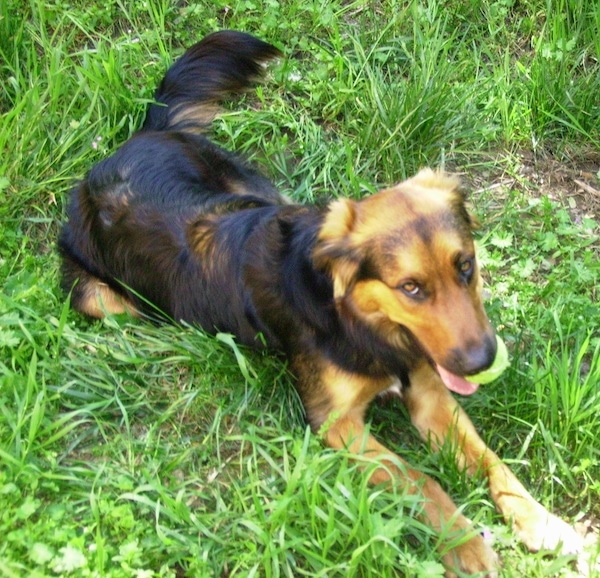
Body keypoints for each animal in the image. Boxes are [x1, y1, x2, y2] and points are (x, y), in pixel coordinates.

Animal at [58, 30, 584, 572]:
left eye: (465, 266)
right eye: (411, 287)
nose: (483, 361)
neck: (361, 323)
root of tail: (135, 140)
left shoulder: (432, 396)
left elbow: (492, 462)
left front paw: (543, 523)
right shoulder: (337, 423)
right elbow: (421, 479)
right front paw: (464, 544)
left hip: (251, 188)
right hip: (99, 298)